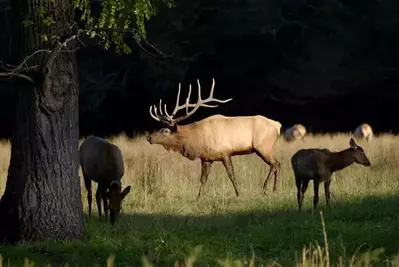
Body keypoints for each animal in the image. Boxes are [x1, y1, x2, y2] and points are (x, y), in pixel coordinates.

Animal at [146, 78, 282, 199]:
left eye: (165, 130)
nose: (149, 137)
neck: (197, 140)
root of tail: (278, 125)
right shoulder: (206, 158)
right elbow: (203, 179)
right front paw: (198, 197)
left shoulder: (225, 152)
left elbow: (231, 175)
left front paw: (238, 194)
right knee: (278, 164)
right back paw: (275, 190)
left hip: (263, 146)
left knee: (275, 164)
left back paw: (265, 188)